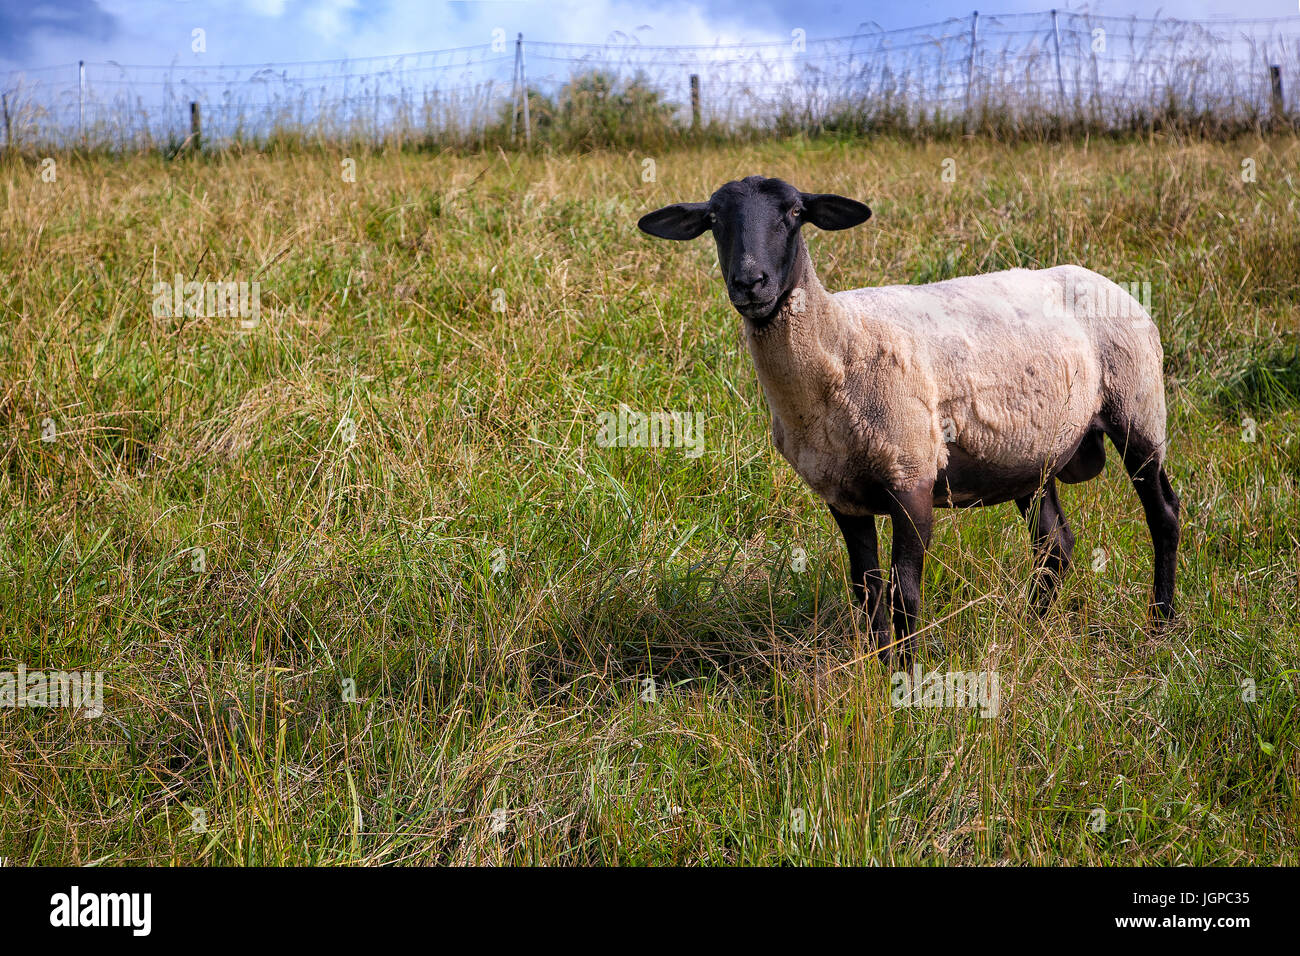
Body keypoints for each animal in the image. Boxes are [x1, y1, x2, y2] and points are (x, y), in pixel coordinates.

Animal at [639, 178, 1180, 658]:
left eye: (794, 212)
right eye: (713, 219)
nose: (750, 283)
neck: (840, 342)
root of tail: (1105, 280)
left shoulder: (911, 474)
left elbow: (905, 593)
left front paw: (907, 677)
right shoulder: (843, 494)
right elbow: (867, 588)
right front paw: (880, 667)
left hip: (1139, 407)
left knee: (1163, 515)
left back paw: (1161, 625)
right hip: (1033, 454)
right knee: (1054, 546)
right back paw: (1030, 631)